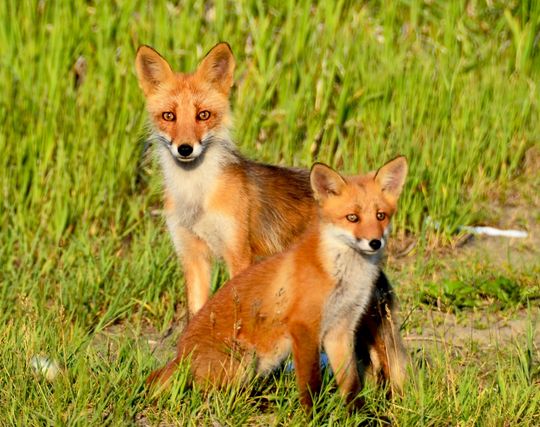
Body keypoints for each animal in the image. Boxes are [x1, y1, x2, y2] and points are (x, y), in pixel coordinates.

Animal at [148, 156, 410, 408]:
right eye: (352, 218)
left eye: (380, 216)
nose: (375, 242)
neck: (343, 278)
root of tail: (179, 356)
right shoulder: (303, 328)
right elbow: (310, 384)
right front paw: (312, 415)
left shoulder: (340, 330)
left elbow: (351, 385)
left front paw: (361, 415)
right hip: (245, 359)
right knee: (210, 395)